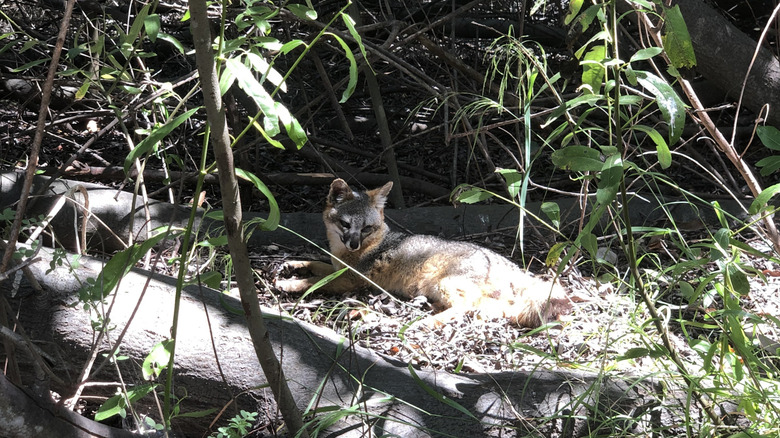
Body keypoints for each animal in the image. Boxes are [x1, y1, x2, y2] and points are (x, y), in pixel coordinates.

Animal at [277, 178, 570, 328]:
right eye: (346, 225)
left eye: (367, 228)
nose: (354, 245)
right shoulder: (337, 267)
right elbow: (316, 263)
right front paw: (293, 264)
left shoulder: (351, 279)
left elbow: (315, 283)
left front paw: (291, 284)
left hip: (444, 282)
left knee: (466, 306)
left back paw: (429, 321)